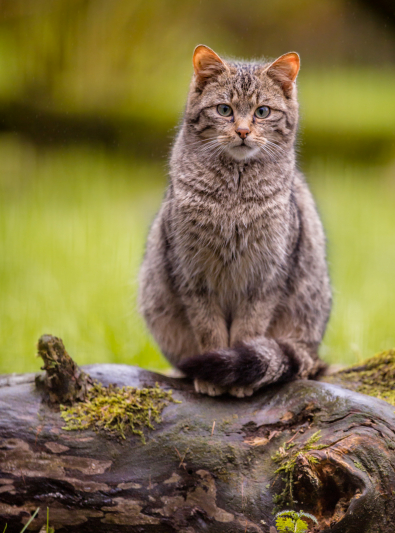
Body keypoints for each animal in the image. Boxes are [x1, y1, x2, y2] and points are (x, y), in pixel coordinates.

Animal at [138, 44, 332, 394]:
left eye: (263, 112)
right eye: (224, 110)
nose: (242, 131)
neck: (234, 198)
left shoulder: (265, 278)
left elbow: (247, 332)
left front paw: (240, 379)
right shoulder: (193, 275)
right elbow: (210, 332)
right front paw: (211, 376)